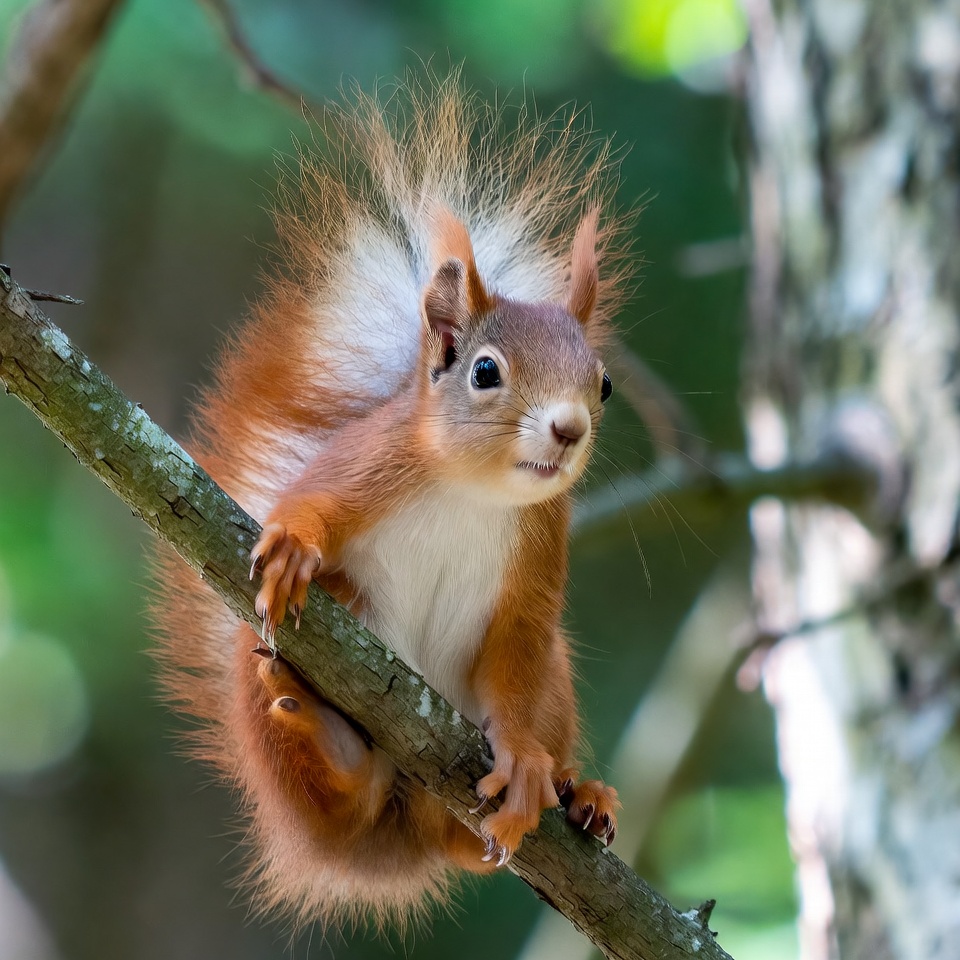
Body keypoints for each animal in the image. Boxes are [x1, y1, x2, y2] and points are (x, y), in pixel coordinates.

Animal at [152, 73, 631, 931]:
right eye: (485, 371)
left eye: (603, 382)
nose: (570, 428)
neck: (475, 491)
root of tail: (383, 844)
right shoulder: (370, 462)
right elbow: (309, 503)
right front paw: (295, 545)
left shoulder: (540, 551)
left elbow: (517, 650)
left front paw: (523, 761)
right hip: (270, 680)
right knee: (335, 783)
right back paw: (329, 740)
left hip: (551, 685)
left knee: (466, 831)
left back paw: (578, 792)